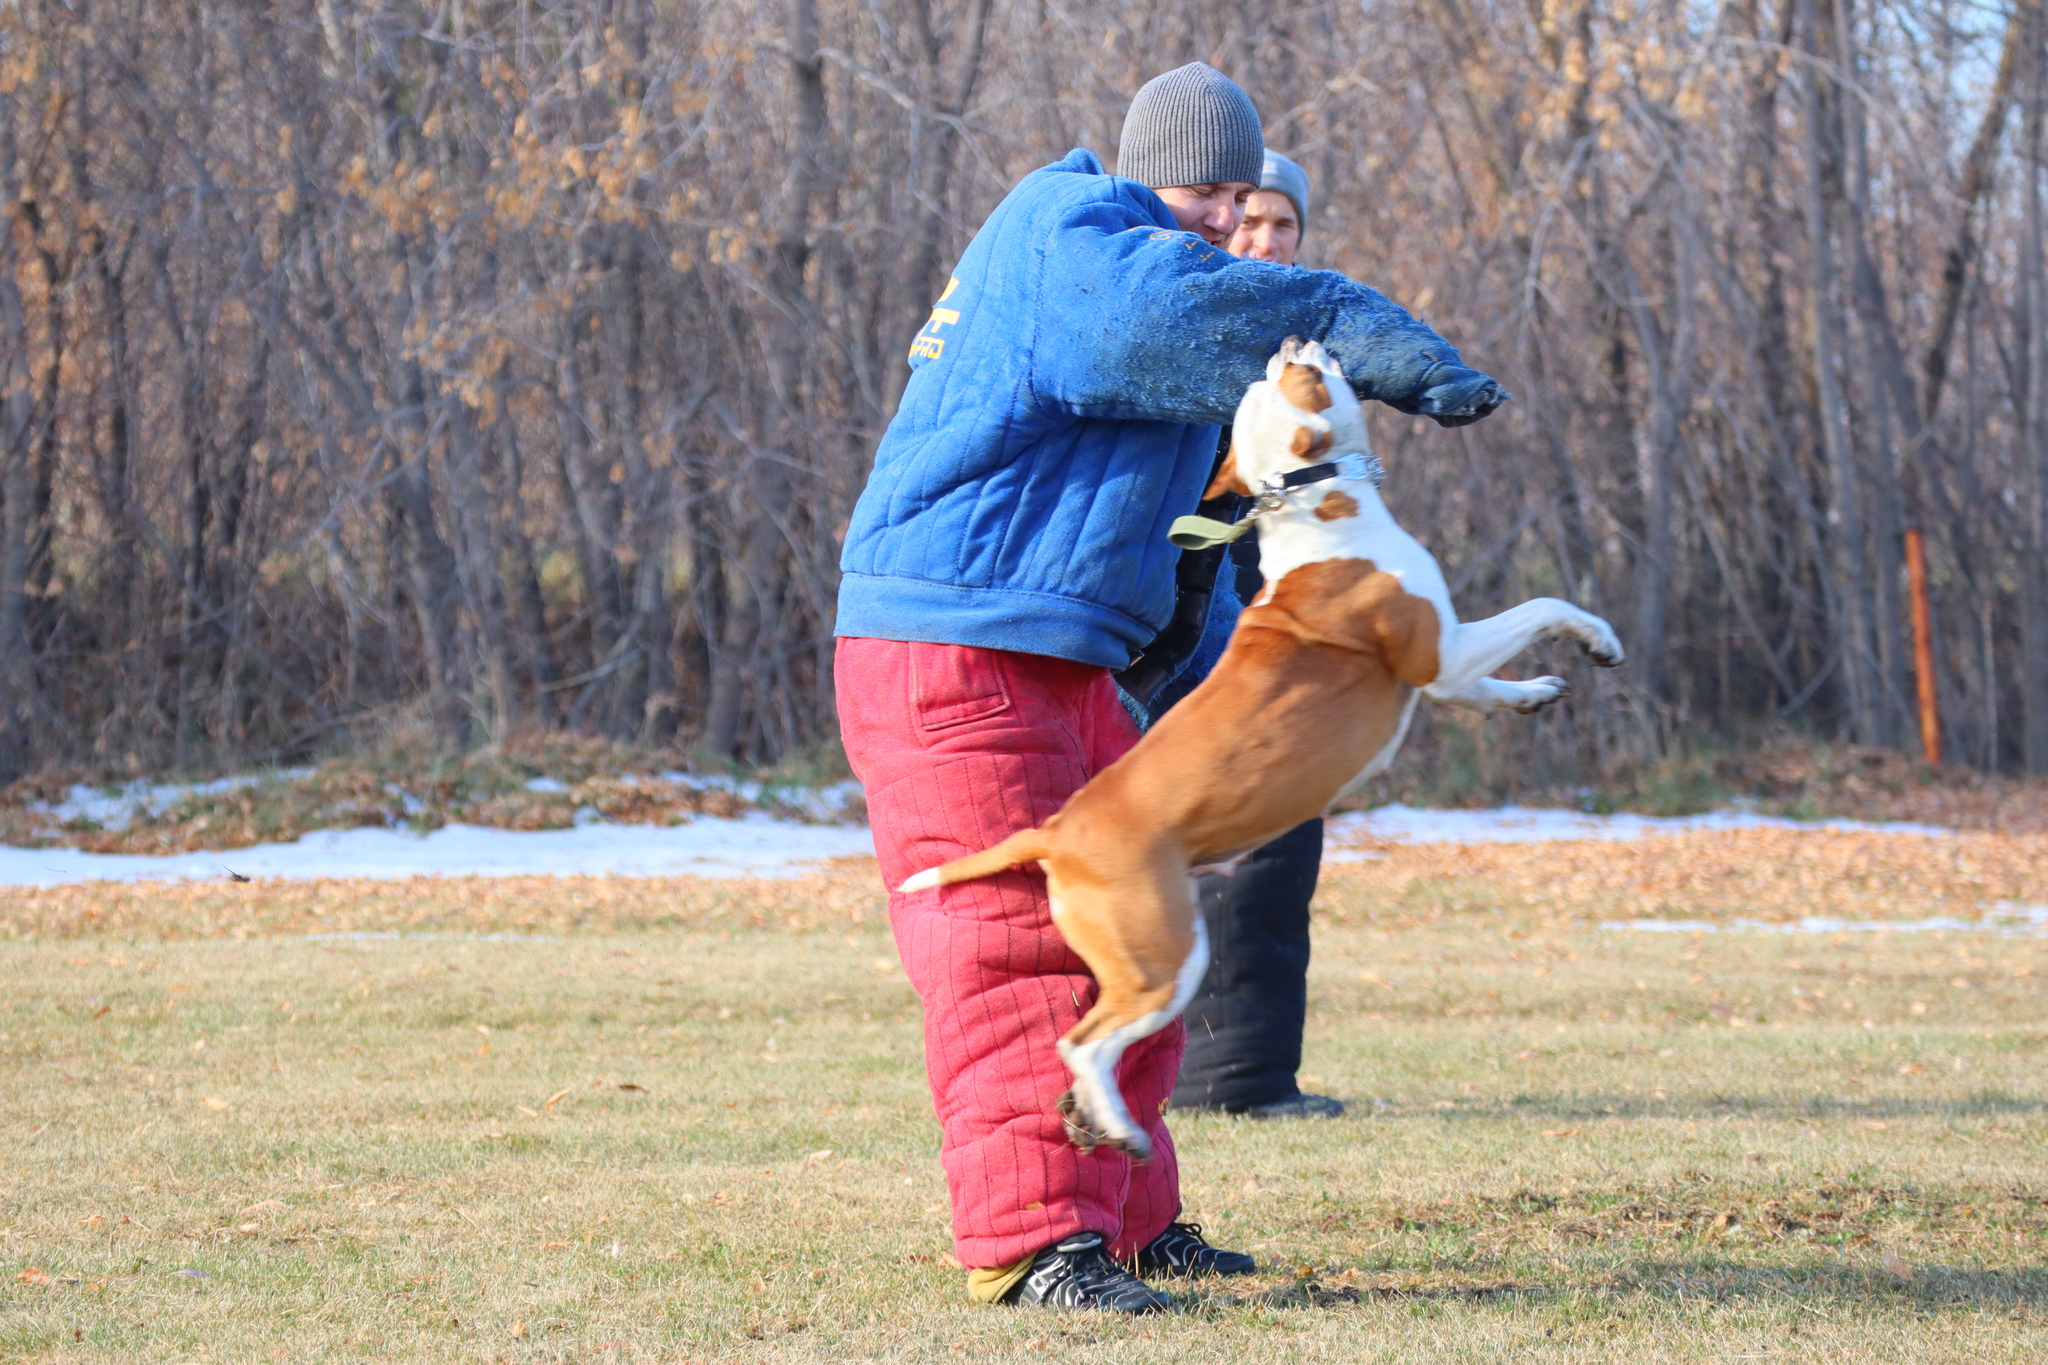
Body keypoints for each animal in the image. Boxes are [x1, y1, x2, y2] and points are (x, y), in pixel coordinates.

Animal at [897, 335, 1613, 1162]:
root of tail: (1057, 829)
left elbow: (1494, 686)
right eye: (1296, 377)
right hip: (1163, 955)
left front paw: (1533, 694)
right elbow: (1541, 606)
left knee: (1078, 1040)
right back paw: (1118, 1126)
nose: (1294, 340)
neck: (1315, 505)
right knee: (1084, 1041)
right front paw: (1600, 637)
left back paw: (1087, 1118)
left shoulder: (1451, 675)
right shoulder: (1442, 651)